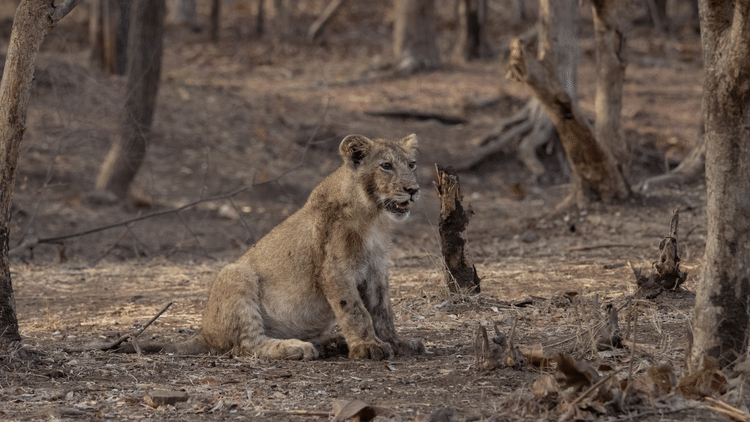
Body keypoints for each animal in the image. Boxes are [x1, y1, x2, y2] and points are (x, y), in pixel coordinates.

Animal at [125, 134, 425, 360]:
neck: (373, 217)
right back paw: (298, 347)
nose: (413, 190)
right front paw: (368, 347)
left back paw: (330, 343)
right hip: (234, 273)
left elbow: (382, 311)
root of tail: (204, 334)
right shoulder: (334, 270)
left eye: (411, 164)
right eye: (386, 165)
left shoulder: (376, 269)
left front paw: (397, 343)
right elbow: (355, 311)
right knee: (246, 345)